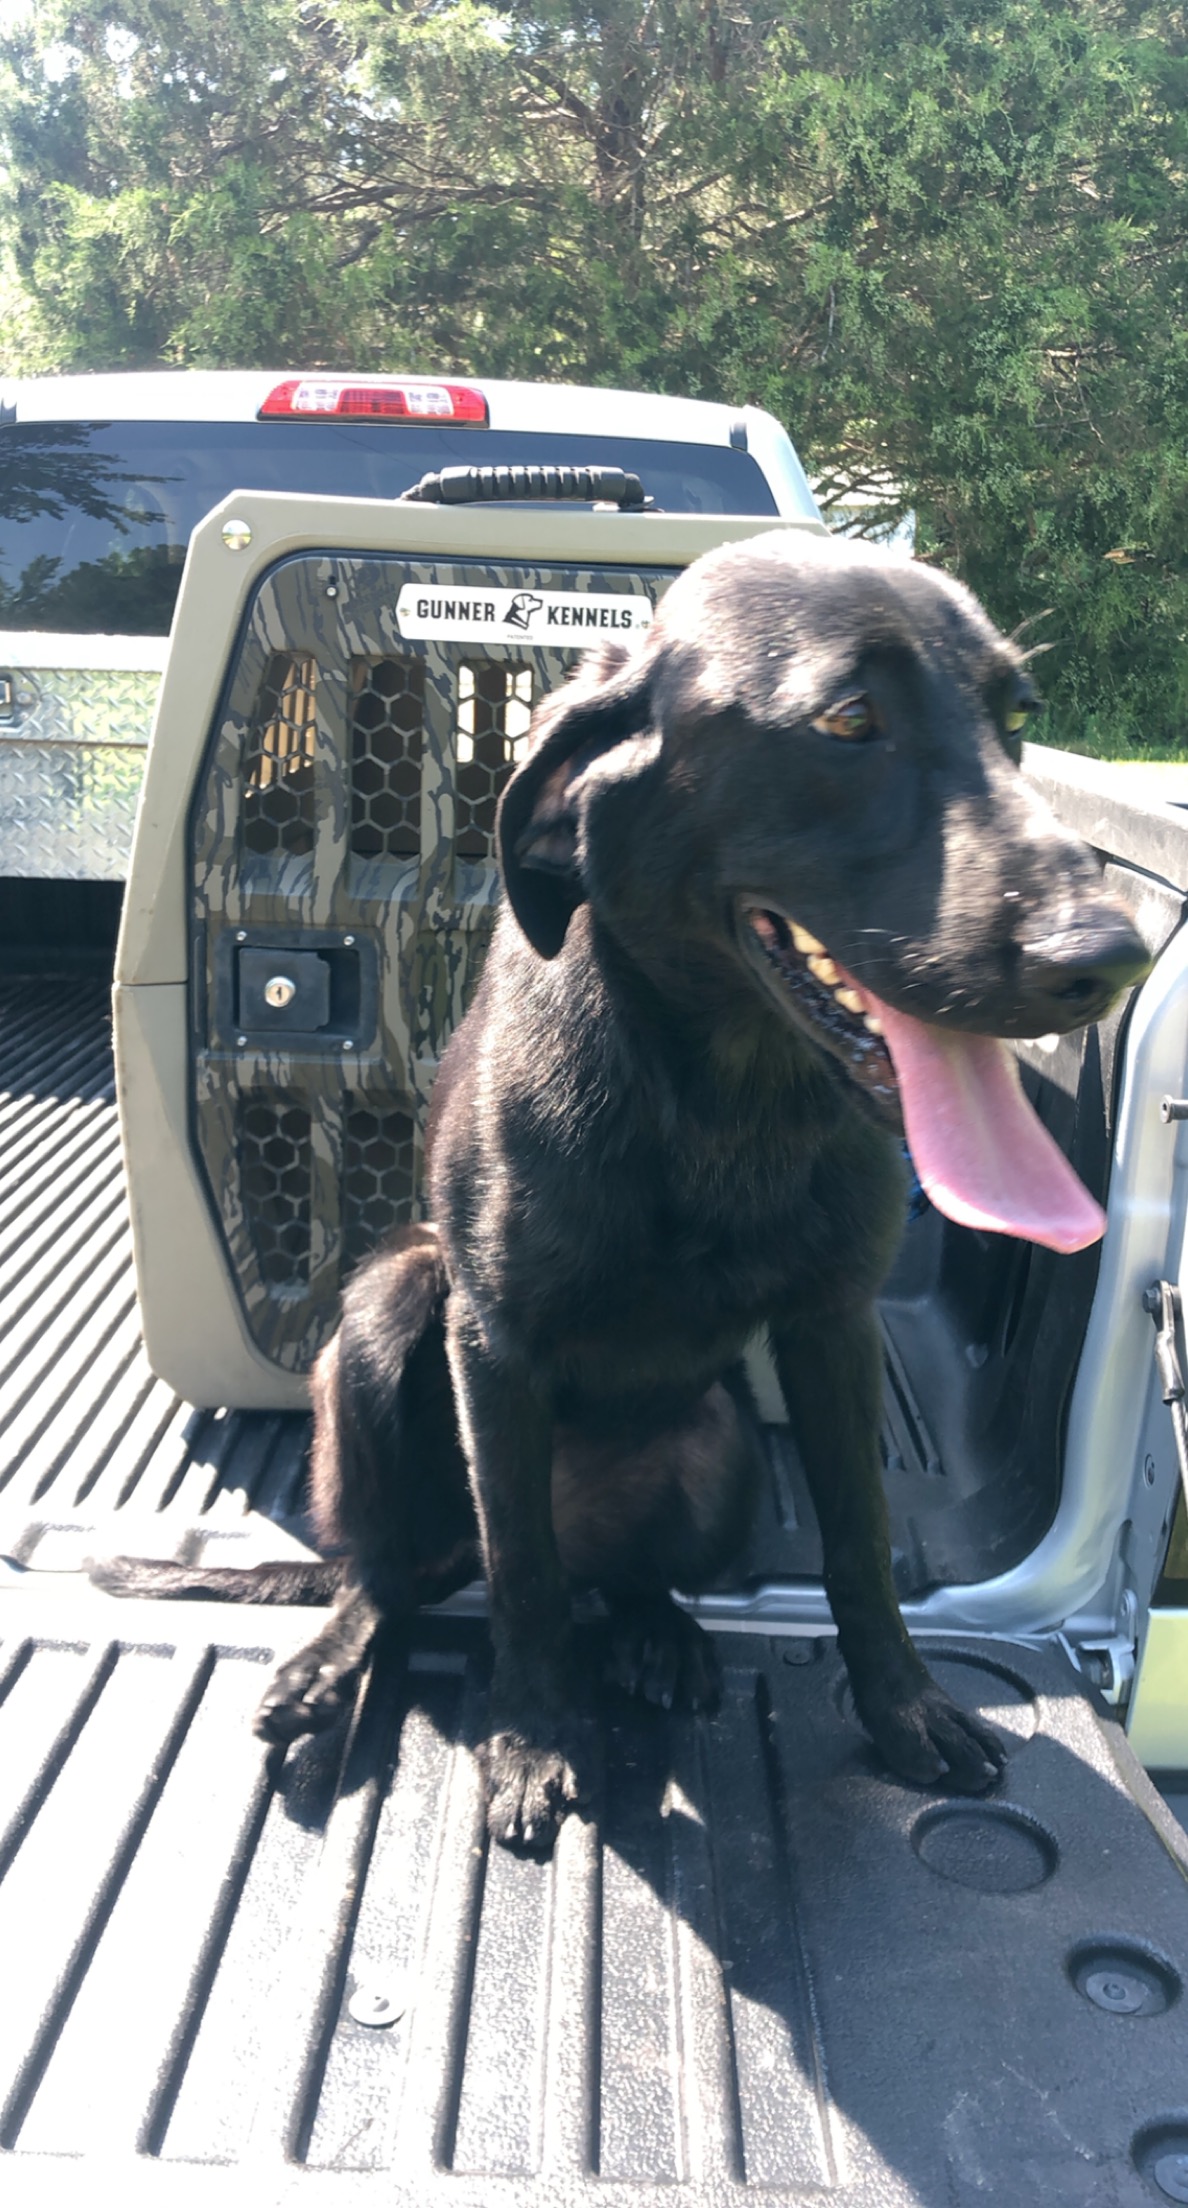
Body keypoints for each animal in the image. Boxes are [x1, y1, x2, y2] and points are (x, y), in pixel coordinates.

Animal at [94, 534, 1148, 1845]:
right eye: (850, 720)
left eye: (1017, 723)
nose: (1112, 957)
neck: (721, 1099)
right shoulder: (493, 1343)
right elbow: (526, 1582)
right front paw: (534, 1737)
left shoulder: (832, 1330)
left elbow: (858, 1541)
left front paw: (904, 1710)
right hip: (390, 1320)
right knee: (399, 1571)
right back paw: (335, 1660)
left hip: (723, 1450)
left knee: (620, 1579)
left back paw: (661, 1638)